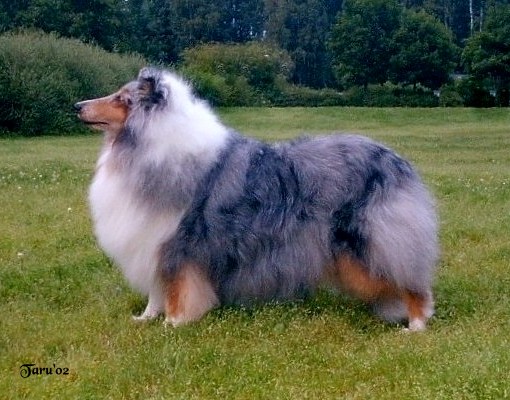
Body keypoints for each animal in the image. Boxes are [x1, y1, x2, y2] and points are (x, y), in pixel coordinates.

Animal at [75, 67, 438, 331]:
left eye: (122, 99)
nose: (77, 107)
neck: (148, 147)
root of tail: (397, 160)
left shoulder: (180, 244)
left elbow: (178, 289)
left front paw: (173, 324)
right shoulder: (152, 241)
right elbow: (156, 288)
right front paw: (146, 319)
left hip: (370, 245)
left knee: (413, 284)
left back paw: (416, 326)